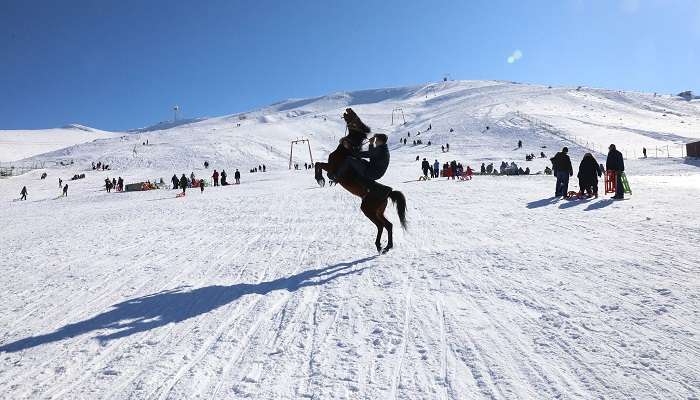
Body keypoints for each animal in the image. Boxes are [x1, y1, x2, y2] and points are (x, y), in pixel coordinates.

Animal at [314, 109, 408, 253]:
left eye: (356, 118)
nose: (348, 109)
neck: (345, 151)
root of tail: (388, 192)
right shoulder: (329, 165)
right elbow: (318, 164)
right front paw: (321, 179)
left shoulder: (331, 166)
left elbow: (318, 164)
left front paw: (321, 179)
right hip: (378, 211)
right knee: (388, 225)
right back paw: (387, 246)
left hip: (368, 210)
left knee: (380, 226)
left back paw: (379, 245)